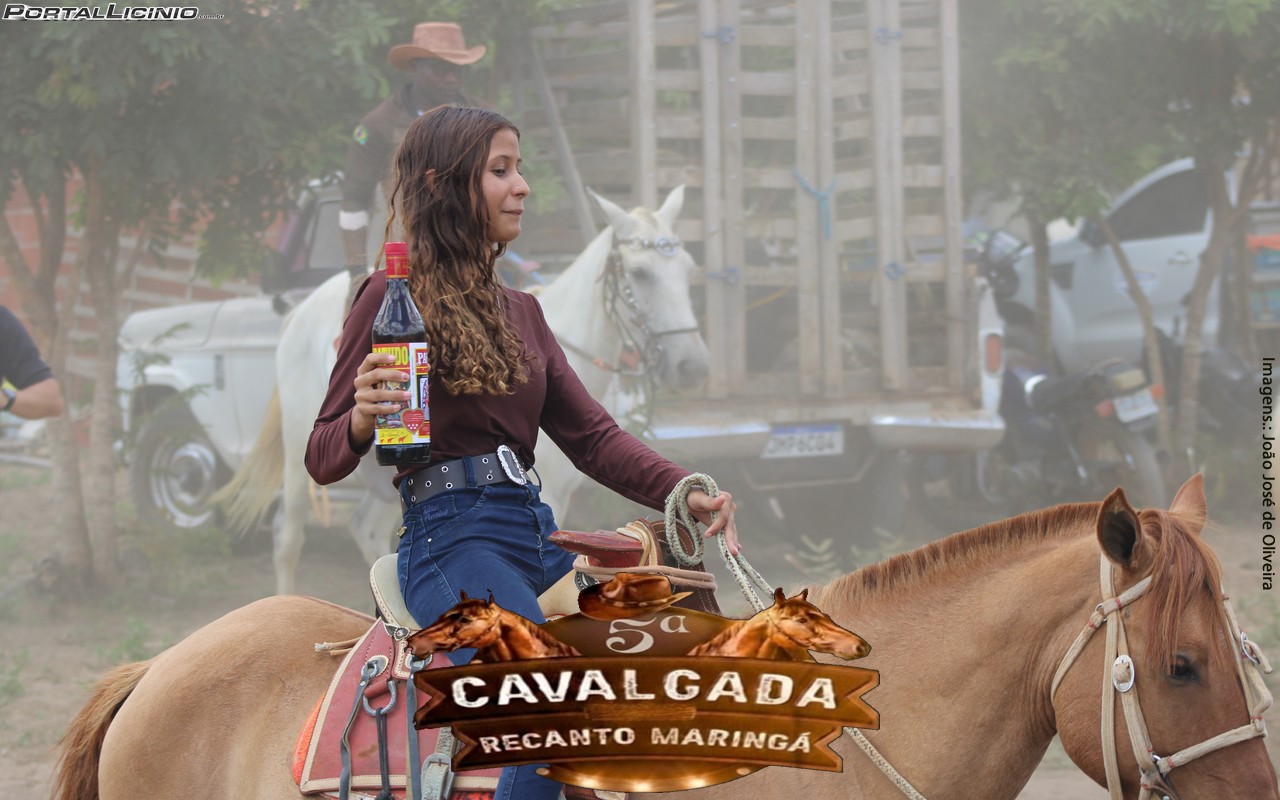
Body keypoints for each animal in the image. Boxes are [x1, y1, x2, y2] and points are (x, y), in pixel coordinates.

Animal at [215, 185, 708, 595]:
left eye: (688, 270)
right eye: (640, 273)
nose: (691, 365)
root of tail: (300, 312)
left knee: (365, 529)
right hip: (298, 459)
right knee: (288, 537)